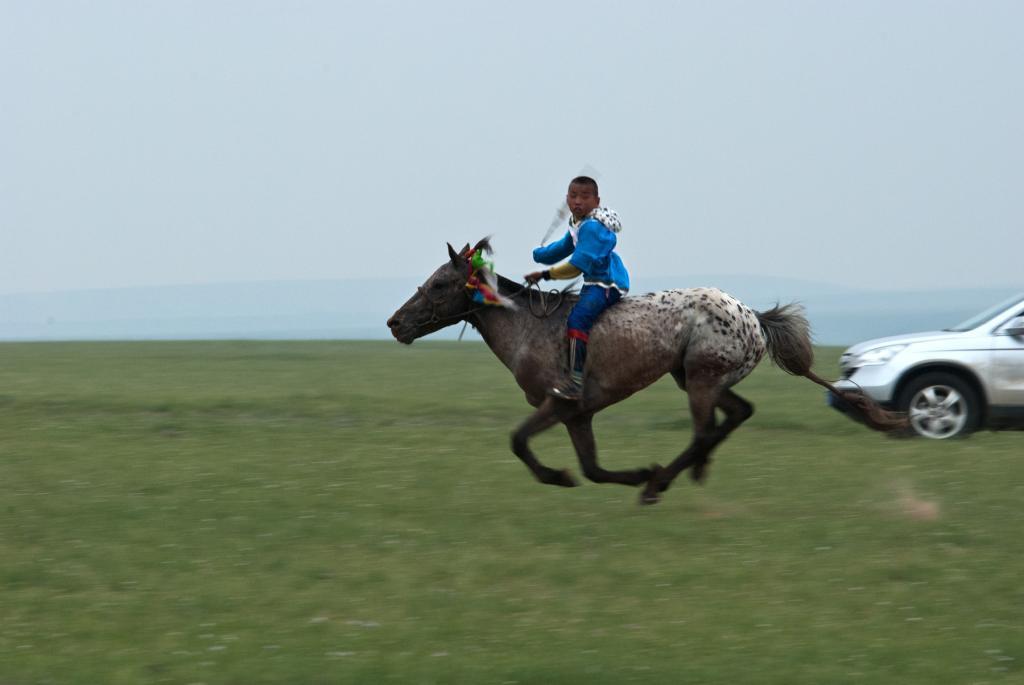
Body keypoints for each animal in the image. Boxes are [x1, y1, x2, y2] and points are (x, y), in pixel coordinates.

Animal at [387, 239, 909, 501]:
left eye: (440, 283)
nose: (395, 323)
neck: (529, 328)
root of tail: (754, 317)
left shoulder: (557, 405)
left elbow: (519, 441)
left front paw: (573, 476)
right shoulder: (578, 415)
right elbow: (594, 468)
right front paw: (626, 473)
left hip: (700, 380)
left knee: (704, 431)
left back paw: (662, 483)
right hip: (697, 378)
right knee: (737, 414)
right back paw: (687, 473)